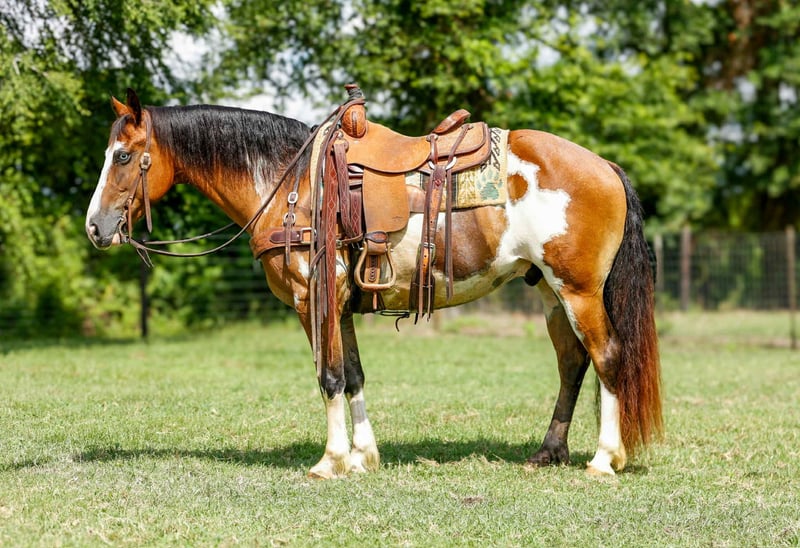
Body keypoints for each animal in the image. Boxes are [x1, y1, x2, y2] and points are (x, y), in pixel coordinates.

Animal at [85, 88, 662, 479]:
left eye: (122, 156)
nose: (95, 227)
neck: (291, 184)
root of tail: (605, 166)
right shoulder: (340, 304)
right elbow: (355, 376)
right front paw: (364, 456)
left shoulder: (313, 299)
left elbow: (330, 378)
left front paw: (330, 460)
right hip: (548, 291)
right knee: (572, 364)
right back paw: (549, 452)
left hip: (578, 291)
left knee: (608, 357)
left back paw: (604, 459)